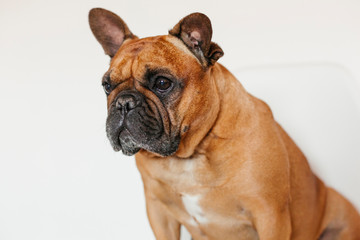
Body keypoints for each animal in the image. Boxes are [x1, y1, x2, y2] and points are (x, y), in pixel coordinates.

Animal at [88, 7, 360, 240]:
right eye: (107, 86)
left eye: (162, 83)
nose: (123, 102)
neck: (190, 155)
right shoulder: (158, 211)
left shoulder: (270, 215)